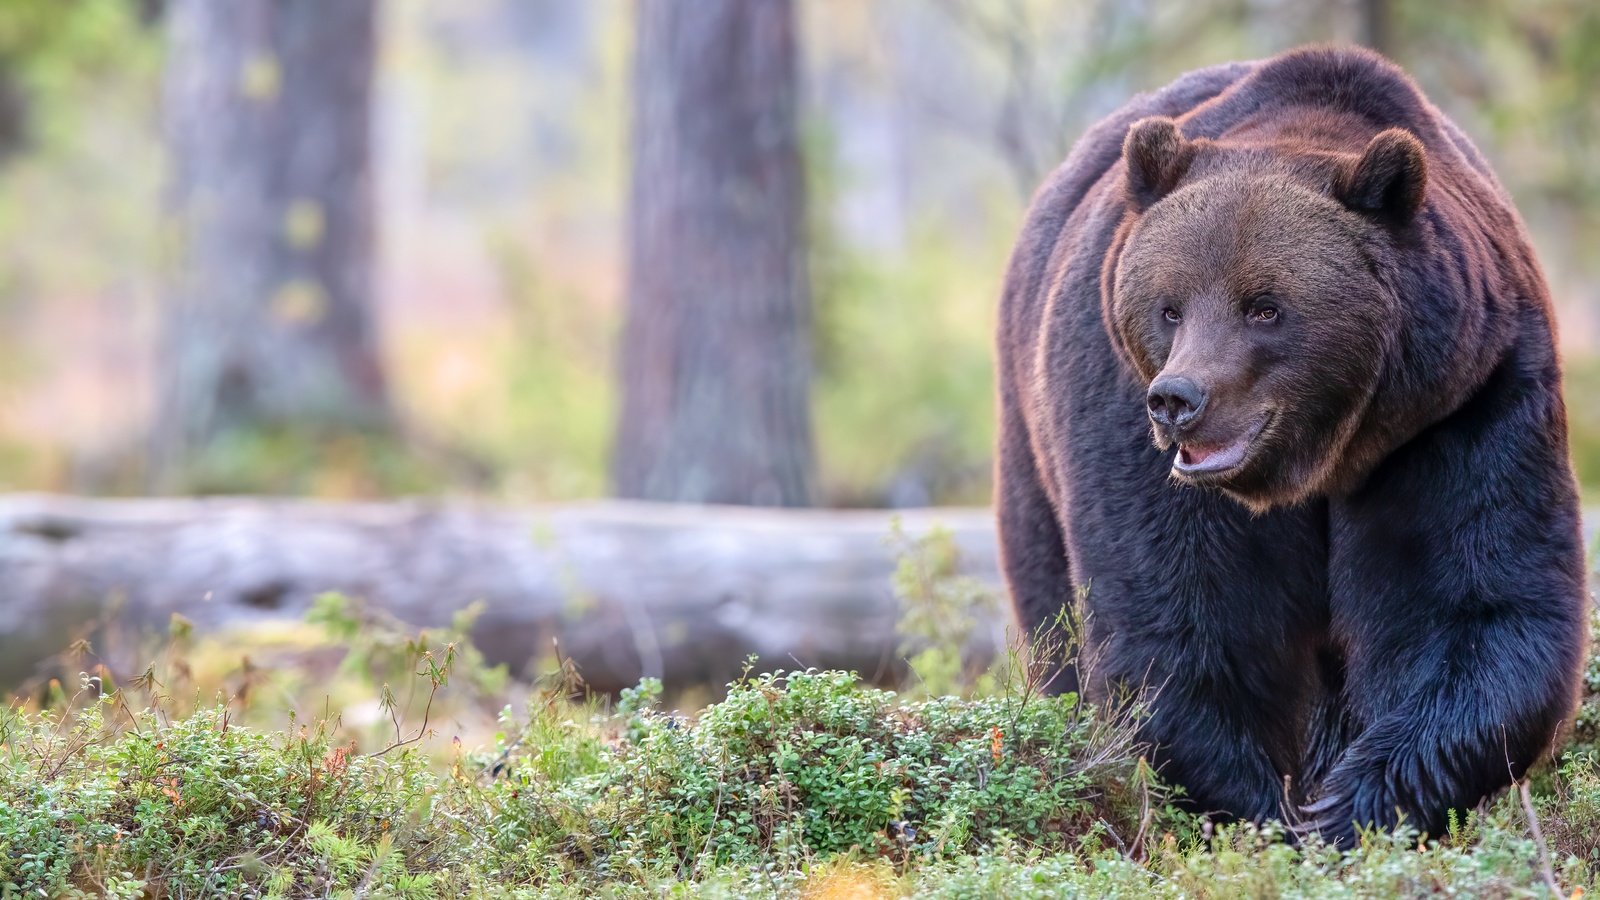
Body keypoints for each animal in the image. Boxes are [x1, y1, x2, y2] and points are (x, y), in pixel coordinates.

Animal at [998, 45, 1587, 845]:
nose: (1179, 401)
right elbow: (1183, 626)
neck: (1324, 456)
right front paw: (1264, 813)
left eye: (1265, 307)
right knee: (1054, 610)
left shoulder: (1463, 407)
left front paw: (1348, 807)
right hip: (1030, 442)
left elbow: (1478, 605)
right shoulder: (1121, 411)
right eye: (1169, 306)